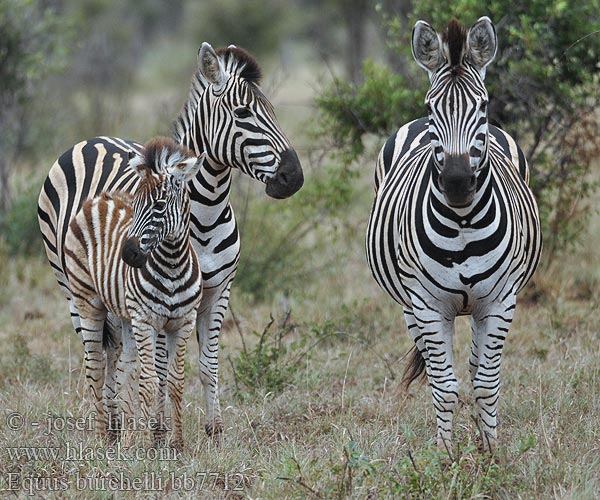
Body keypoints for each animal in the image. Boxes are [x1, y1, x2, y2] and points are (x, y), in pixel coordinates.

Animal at [63, 137, 204, 450]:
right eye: (135, 203)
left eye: (160, 205)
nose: (128, 254)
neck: (173, 264)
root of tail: (97, 199)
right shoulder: (146, 320)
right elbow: (149, 382)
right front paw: (148, 445)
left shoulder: (183, 322)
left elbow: (175, 381)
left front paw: (177, 443)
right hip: (87, 302)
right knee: (96, 367)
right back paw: (102, 436)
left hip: (125, 316)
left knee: (123, 369)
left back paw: (124, 435)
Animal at [366, 18, 544, 454]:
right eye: (432, 107)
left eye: (482, 106)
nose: (458, 183)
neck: (462, 222)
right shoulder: (427, 305)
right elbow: (445, 386)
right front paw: (445, 456)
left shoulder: (499, 302)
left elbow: (486, 382)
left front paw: (491, 452)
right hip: (410, 305)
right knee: (435, 369)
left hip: (483, 306)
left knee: (477, 364)